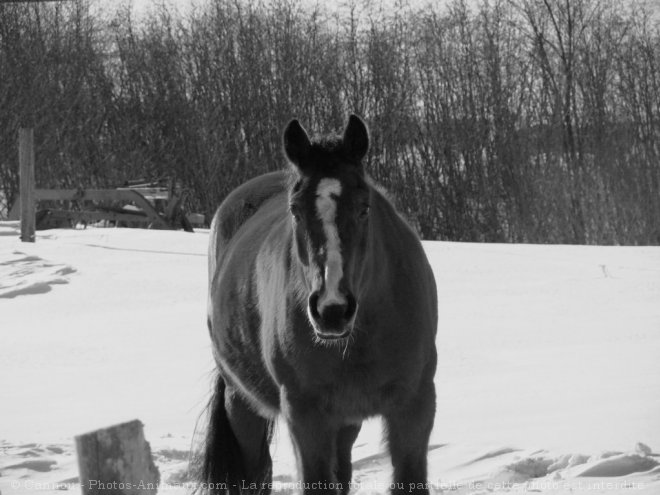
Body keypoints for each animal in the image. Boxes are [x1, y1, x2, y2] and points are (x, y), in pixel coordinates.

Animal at [201, 114, 438, 494]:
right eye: (295, 210)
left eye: (364, 207)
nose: (332, 309)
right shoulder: (305, 415)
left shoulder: (414, 407)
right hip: (242, 403)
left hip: (344, 421)